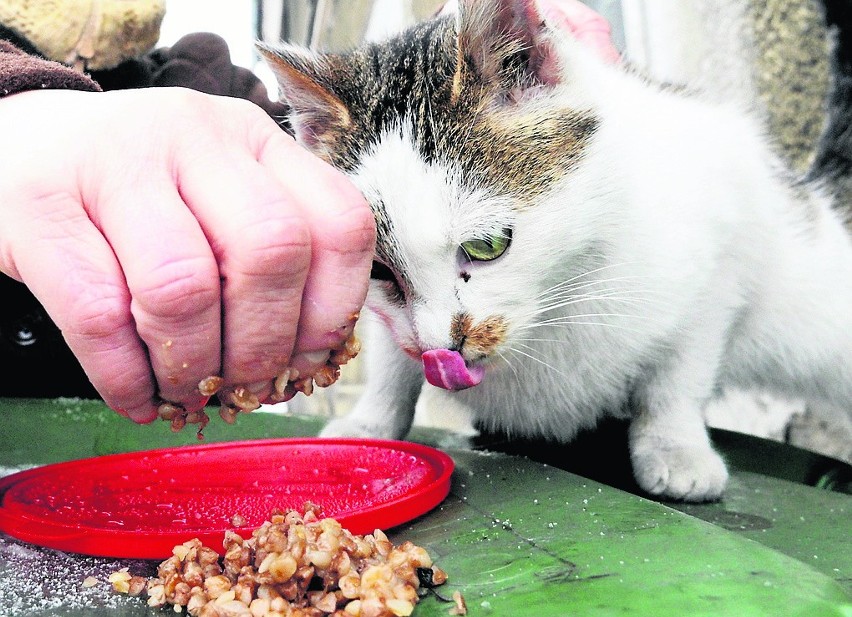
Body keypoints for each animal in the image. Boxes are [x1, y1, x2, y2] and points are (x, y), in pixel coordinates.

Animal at [260, 0, 852, 500]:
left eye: (487, 245)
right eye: (380, 271)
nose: (443, 347)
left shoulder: (721, 251)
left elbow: (679, 372)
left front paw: (675, 447)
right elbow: (391, 361)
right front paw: (370, 425)